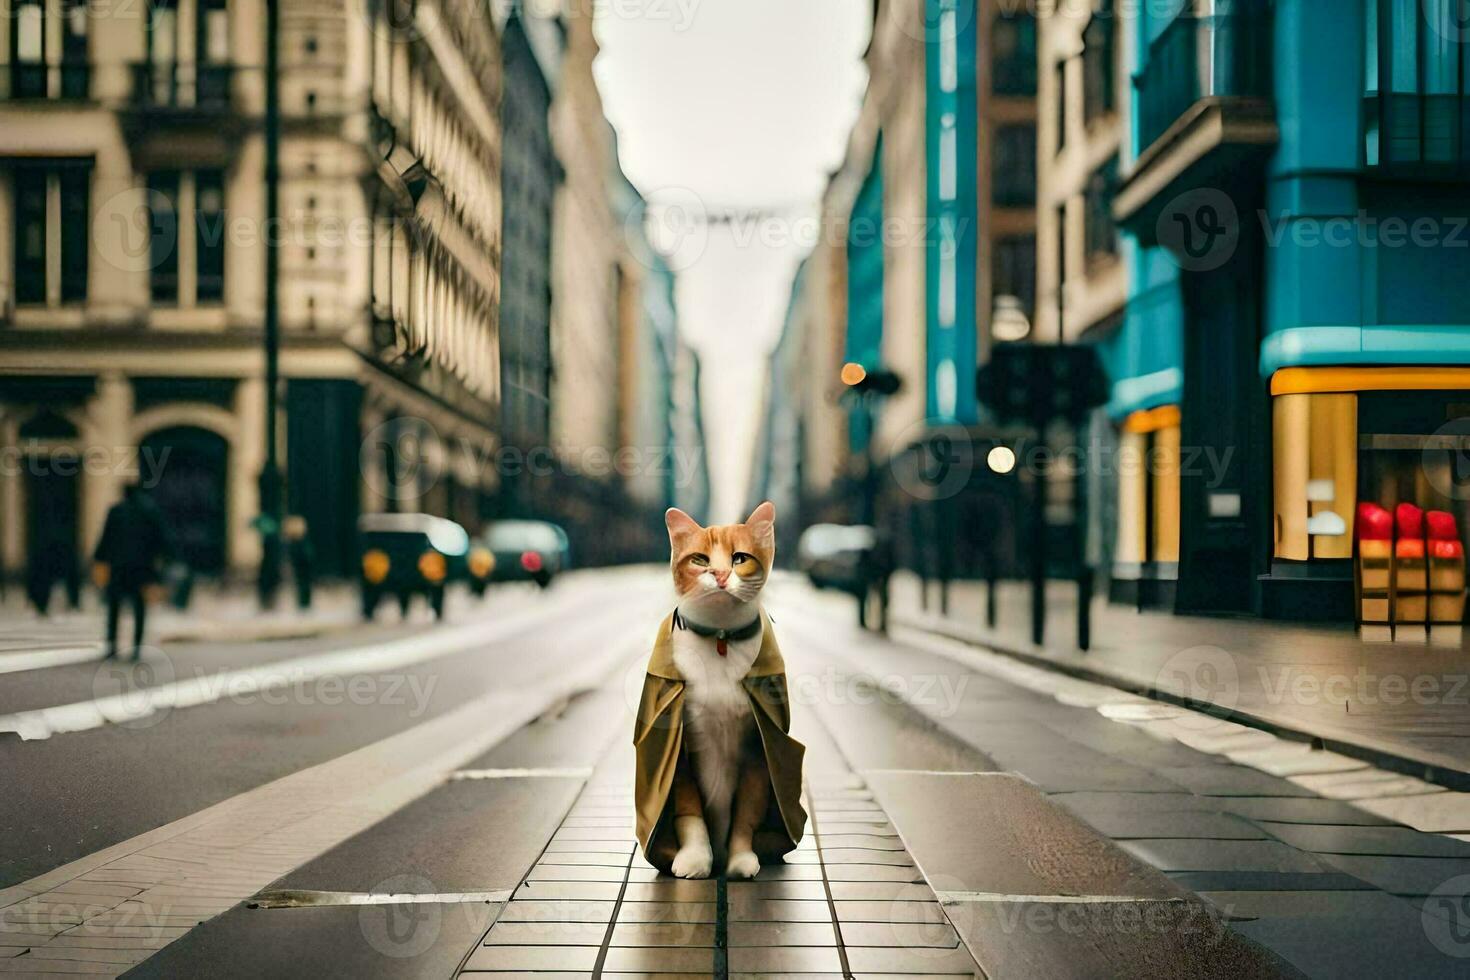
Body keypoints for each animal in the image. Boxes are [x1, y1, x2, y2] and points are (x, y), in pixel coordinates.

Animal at [667, 502, 782, 875]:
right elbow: (690, 810)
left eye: (739, 558)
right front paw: (696, 858)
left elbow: (746, 811)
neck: (720, 637)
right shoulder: (684, 741)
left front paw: (739, 859)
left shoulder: (757, 745)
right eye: (700, 560)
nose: (718, 575)